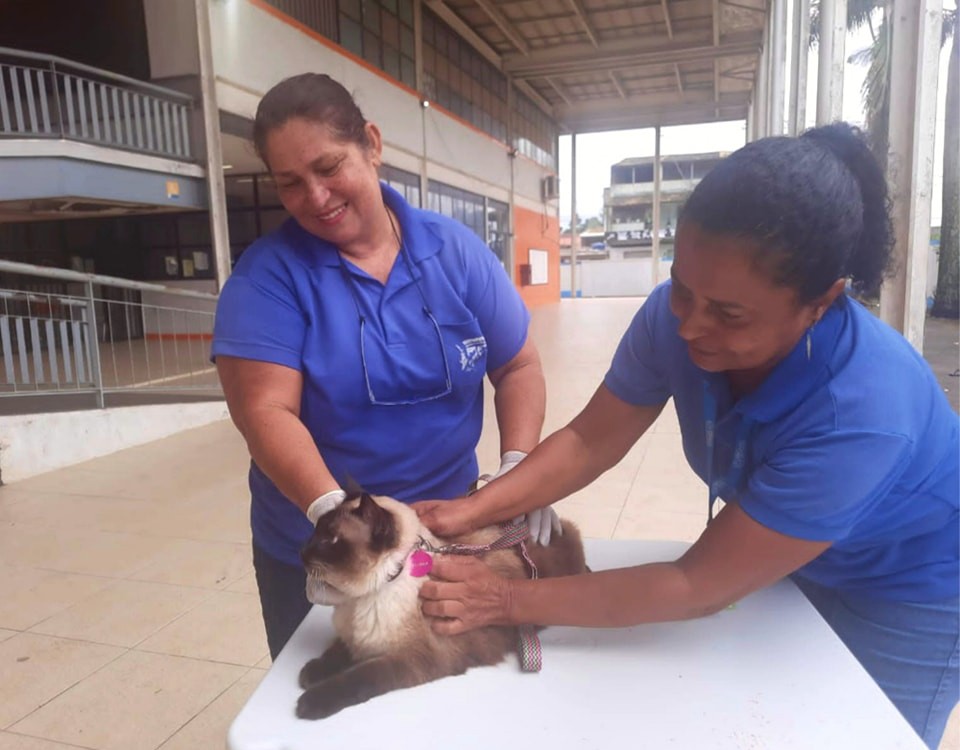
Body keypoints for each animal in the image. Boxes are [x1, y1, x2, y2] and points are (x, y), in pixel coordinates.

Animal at [298, 494, 584, 724]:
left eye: (328, 540)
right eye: (315, 533)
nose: (302, 553)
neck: (365, 598)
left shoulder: (415, 658)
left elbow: (360, 677)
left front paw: (309, 702)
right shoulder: (356, 638)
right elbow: (336, 654)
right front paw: (311, 673)